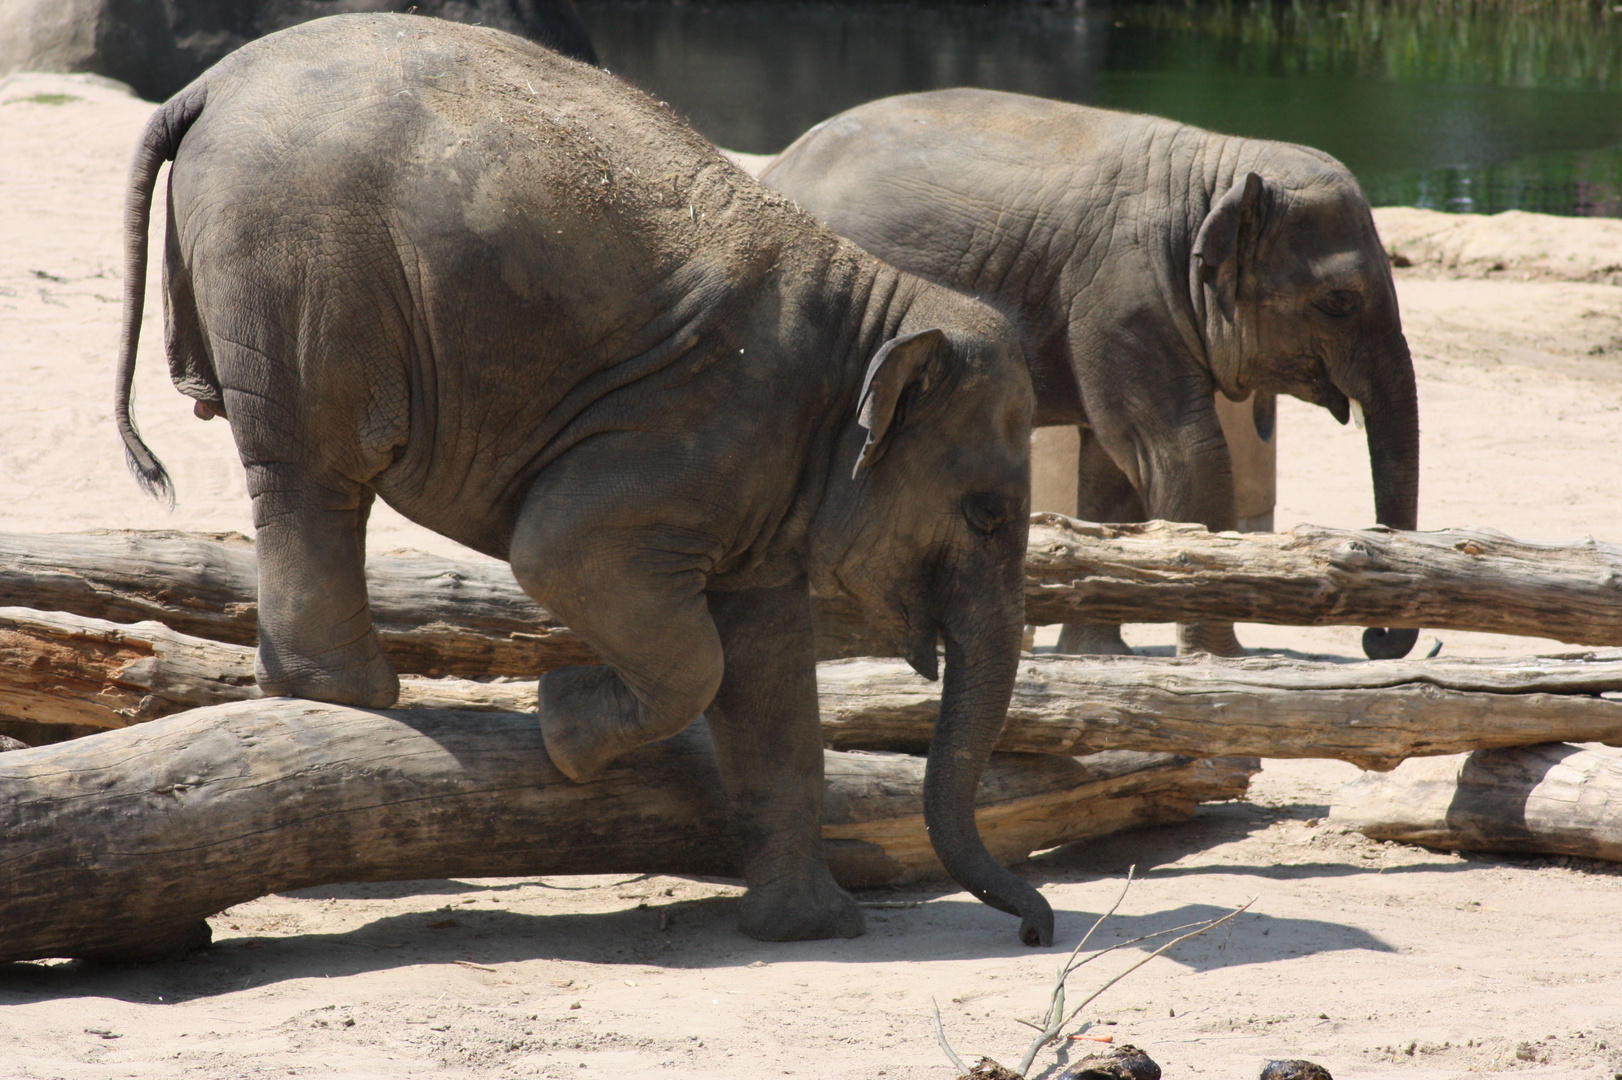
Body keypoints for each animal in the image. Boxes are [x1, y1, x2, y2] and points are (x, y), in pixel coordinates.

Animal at [114, 14, 1051, 940]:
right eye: (986, 514)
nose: (1035, 929)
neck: (877, 305)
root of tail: (211, 83)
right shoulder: (693, 424)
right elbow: (569, 561)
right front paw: (560, 717)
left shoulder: (759, 475)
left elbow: (772, 667)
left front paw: (812, 929)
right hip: (298, 267)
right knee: (315, 472)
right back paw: (349, 695)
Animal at [759, 88, 1420, 655]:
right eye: (1339, 302)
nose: (1375, 638)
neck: (1216, 172)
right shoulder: (1121, 299)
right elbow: (1185, 453)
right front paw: (1224, 659)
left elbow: (1114, 465)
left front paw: (1099, 654)